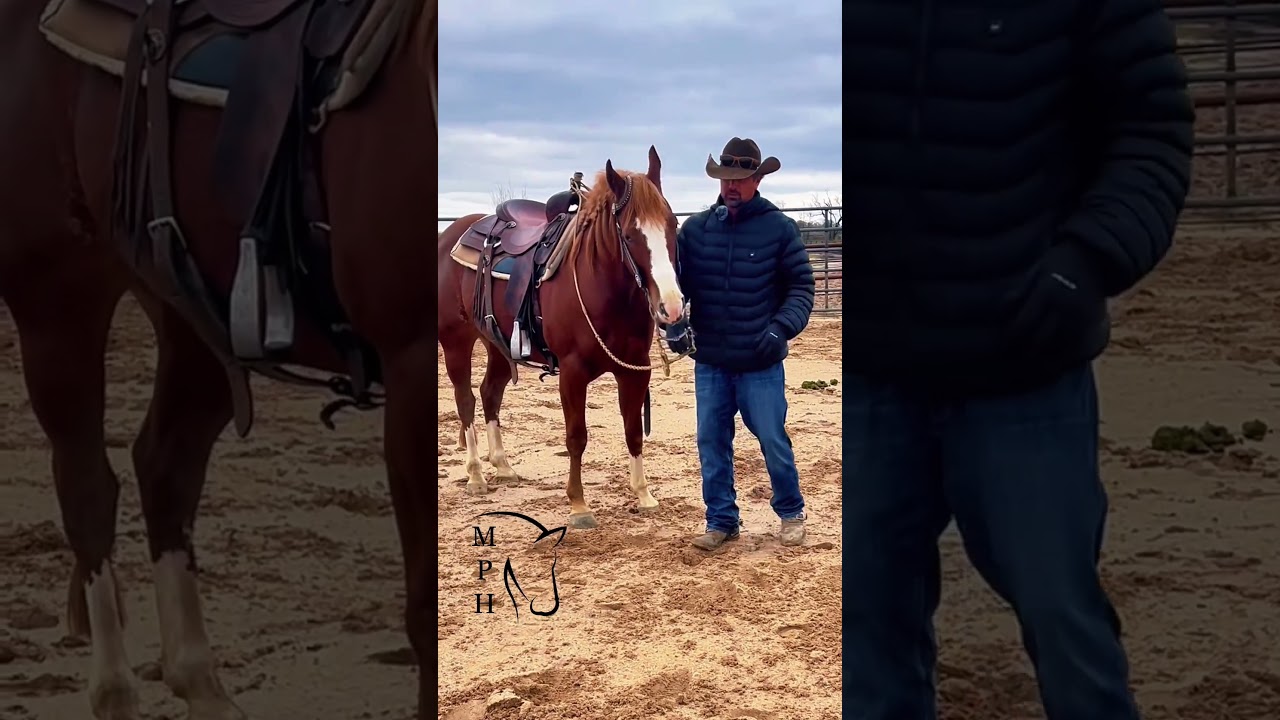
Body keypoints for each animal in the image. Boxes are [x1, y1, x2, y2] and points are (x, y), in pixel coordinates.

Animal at [0, 0, 438, 717]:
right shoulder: (412, 368)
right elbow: (425, 614)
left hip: (192, 315)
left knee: (163, 466)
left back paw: (198, 683)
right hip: (58, 300)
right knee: (87, 486)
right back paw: (116, 692)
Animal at [437, 146, 692, 530]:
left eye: (672, 224)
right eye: (630, 235)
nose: (672, 307)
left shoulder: (634, 370)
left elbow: (633, 430)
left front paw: (644, 495)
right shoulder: (572, 374)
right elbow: (576, 437)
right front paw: (578, 505)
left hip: (497, 343)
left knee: (489, 393)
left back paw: (503, 466)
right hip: (456, 341)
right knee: (465, 400)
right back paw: (476, 475)